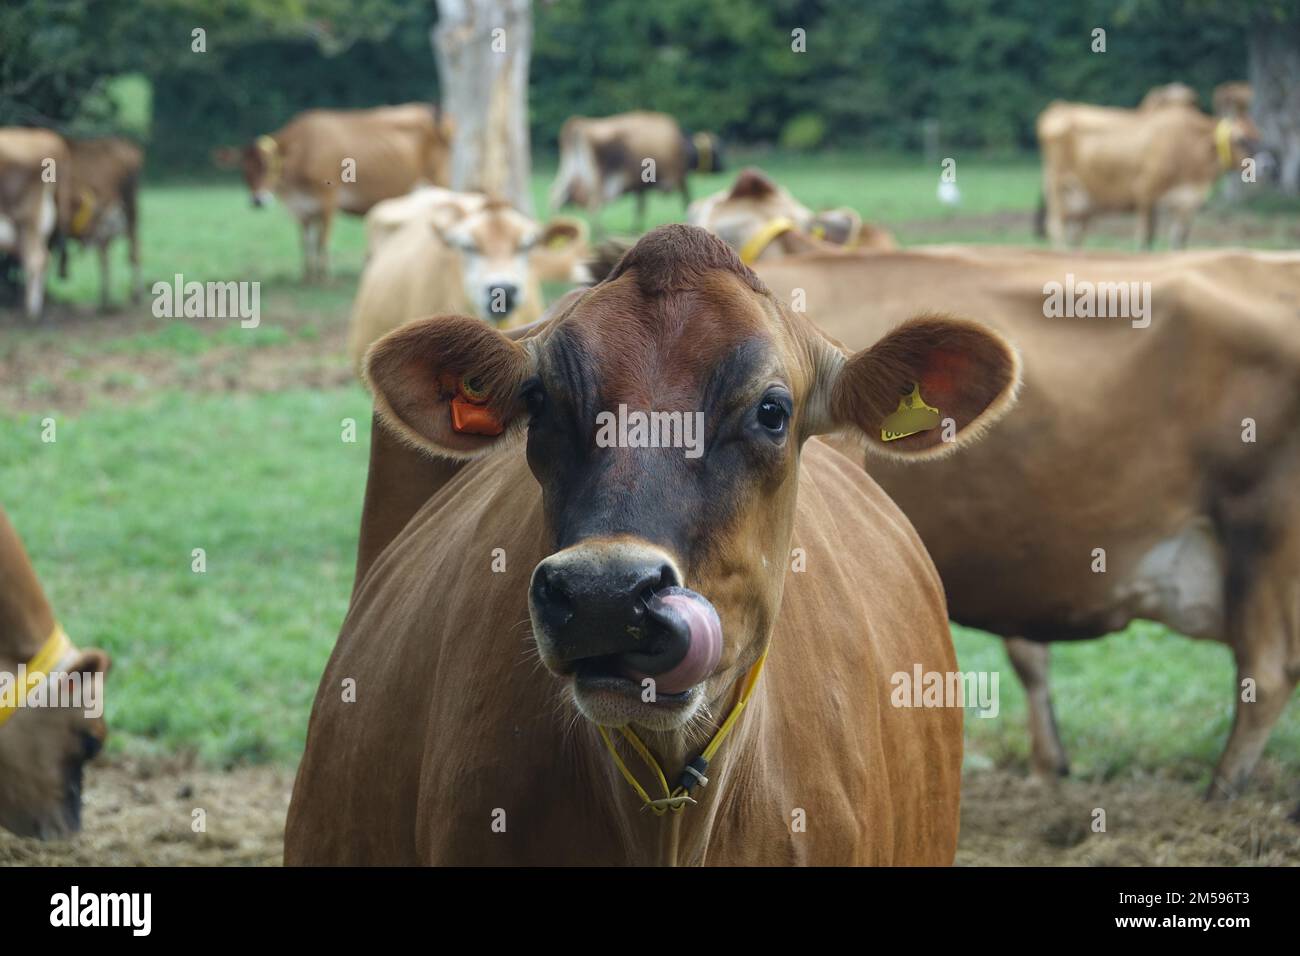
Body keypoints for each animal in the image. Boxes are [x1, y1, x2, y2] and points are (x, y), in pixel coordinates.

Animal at [215, 104, 454, 282]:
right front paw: (307, 276)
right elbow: (306, 242)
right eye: (244, 170)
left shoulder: (328, 201)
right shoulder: (302, 208)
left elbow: (322, 241)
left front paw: (324, 278)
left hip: (440, 181)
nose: (258, 200)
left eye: (268, 166)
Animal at [549, 111, 723, 231]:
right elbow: (686, 199)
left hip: (570, 169)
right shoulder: (679, 177)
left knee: (557, 195)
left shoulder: (640, 186)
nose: (724, 167)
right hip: (598, 177)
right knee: (593, 204)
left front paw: (635, 228)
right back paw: (600, 233)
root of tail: (580, 124)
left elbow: (639, 207)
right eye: (716, 152)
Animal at [1037, 100, 1259, 249]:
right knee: (1056, 228)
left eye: (1258, 135)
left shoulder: (1186, 202)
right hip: (1059, 188)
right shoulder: (1146, 192)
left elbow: (1179, 241)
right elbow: (1145, 238)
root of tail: (1060, 108)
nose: (1266, 165)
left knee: (1075, 237)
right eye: (1240, 139)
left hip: (1081, 203)